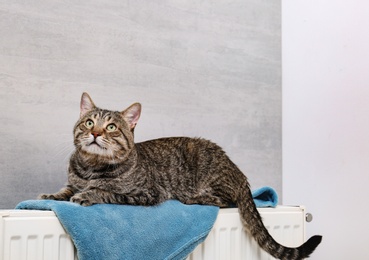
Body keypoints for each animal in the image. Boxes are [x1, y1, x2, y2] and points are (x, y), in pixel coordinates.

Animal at [38, 92, 320, 258]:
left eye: (111, 127)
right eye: (89, 122)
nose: (95, 133)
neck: (91, 166)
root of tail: (239, 174)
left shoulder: (146, 193)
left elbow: (105, 190)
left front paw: (88, 194)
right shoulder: (74, 180)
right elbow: (66, 189)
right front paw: (50, 195)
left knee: (221, 200)